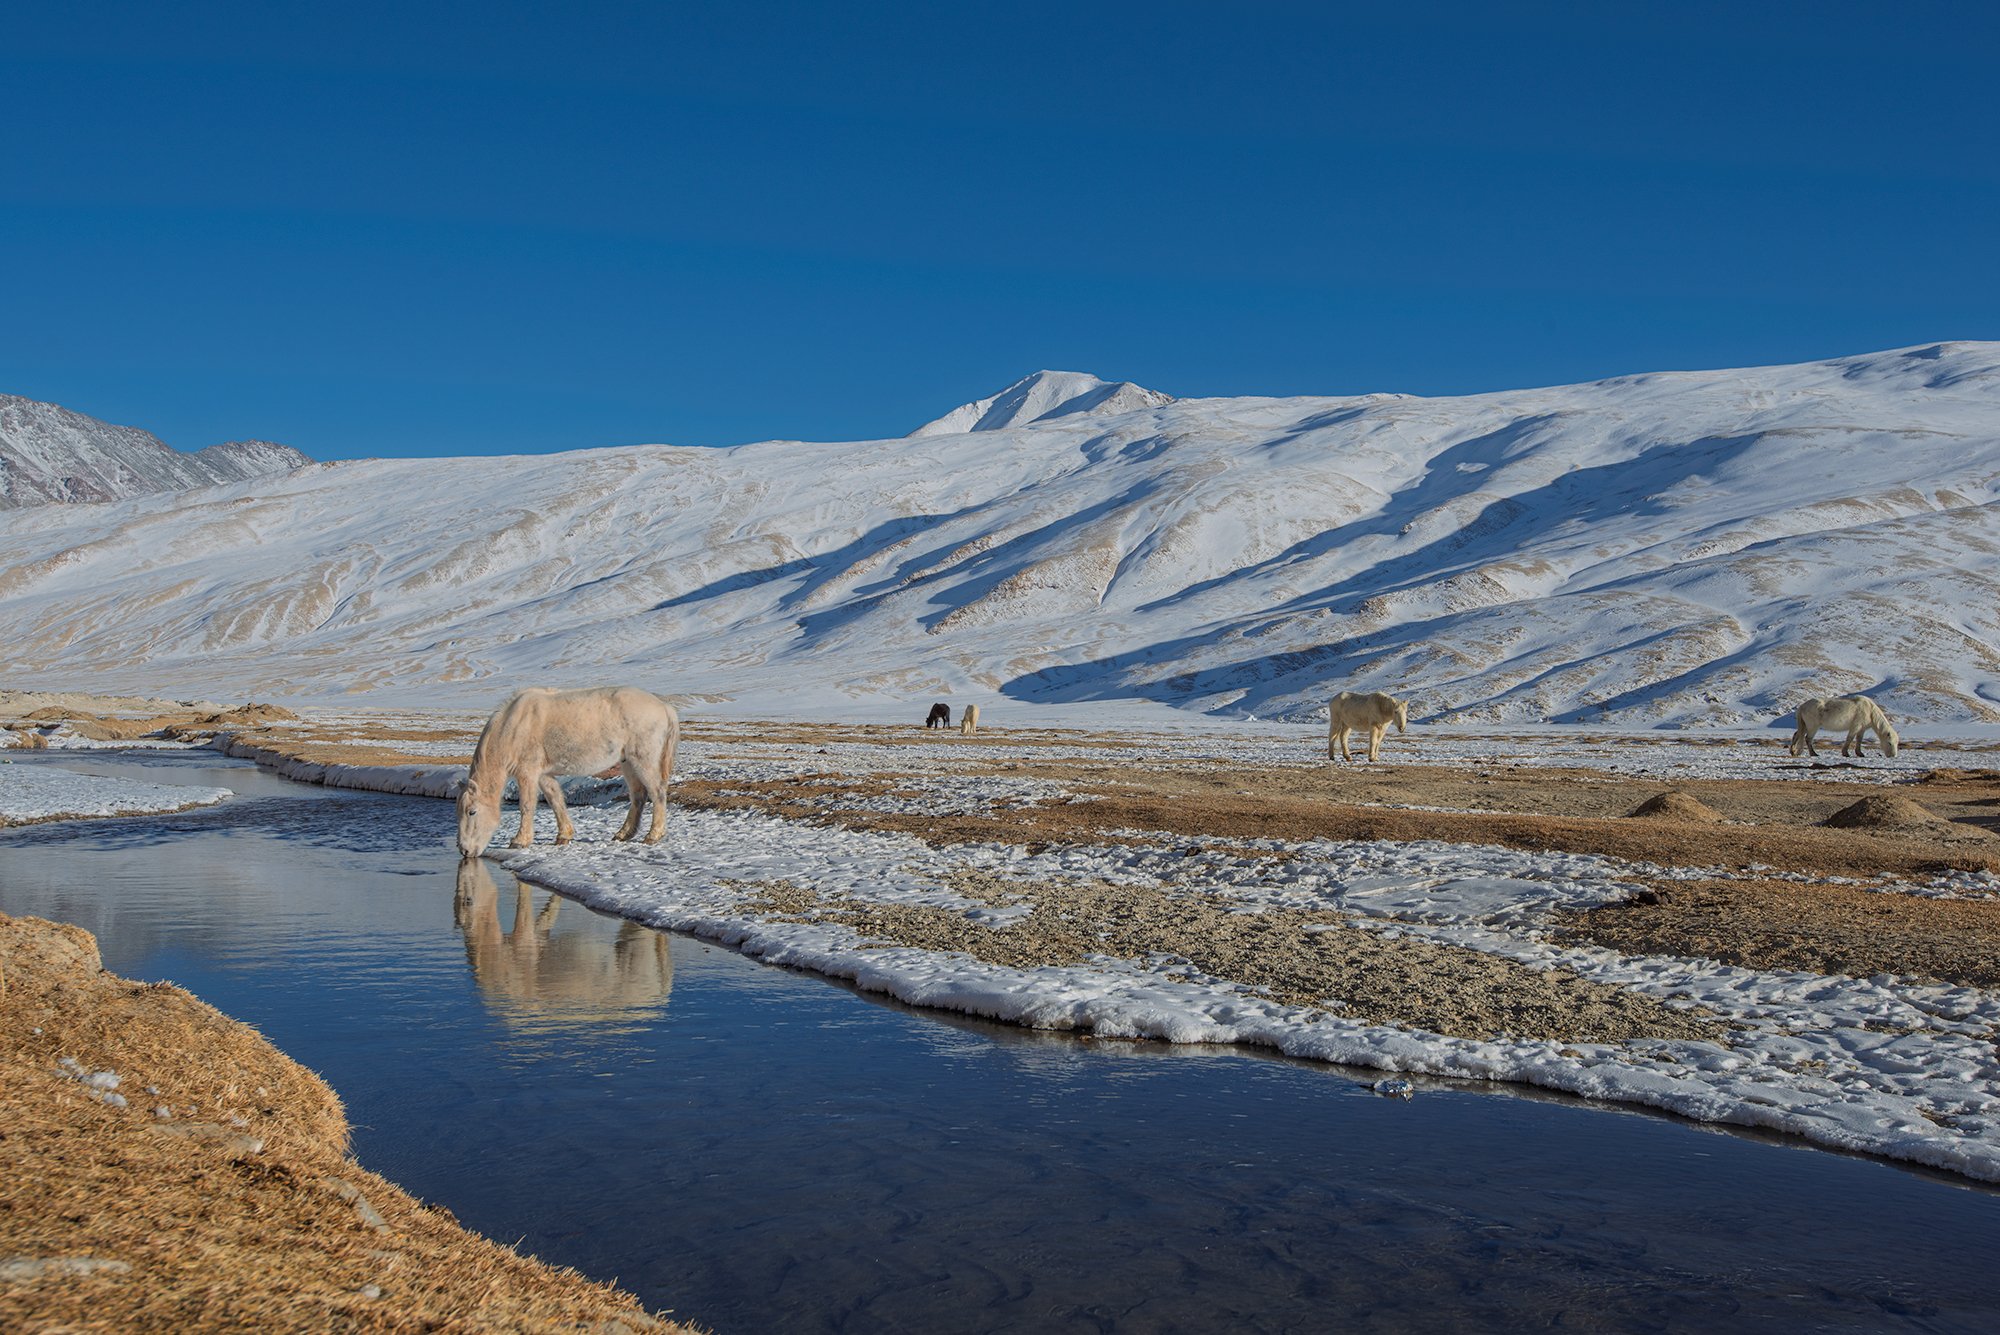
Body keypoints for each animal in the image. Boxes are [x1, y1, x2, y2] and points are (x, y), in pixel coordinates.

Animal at [456, 686, 680, 857]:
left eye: (472, 811)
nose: (465, 851)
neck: (512, 727)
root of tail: (664, 707)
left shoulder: (528, 773)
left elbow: (526, 806)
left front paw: (520, 841)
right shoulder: (544, 775)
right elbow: (556, 800)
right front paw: (564, 835)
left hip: (643, 760)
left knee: (657, 793)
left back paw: (653, 835)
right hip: (627, 762)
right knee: (638, 797)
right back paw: (623, 834)